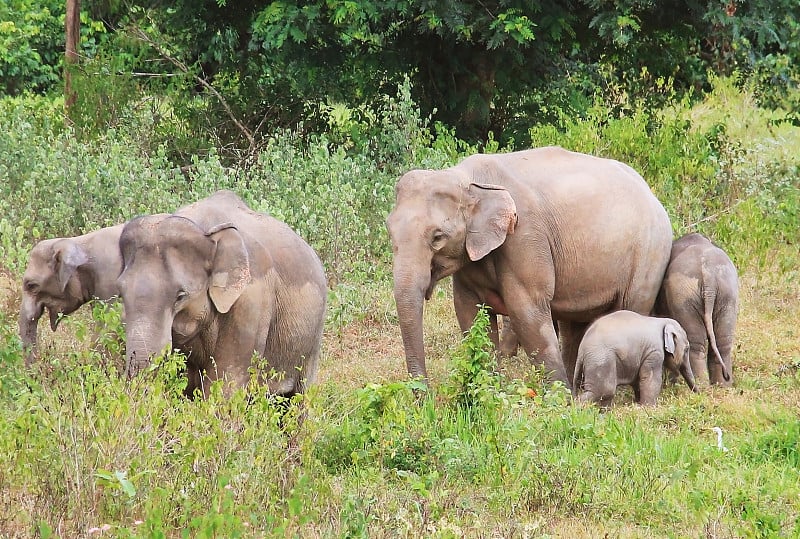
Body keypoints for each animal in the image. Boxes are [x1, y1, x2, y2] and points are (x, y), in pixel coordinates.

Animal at [388, 146, 676, 386]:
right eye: (390, 232)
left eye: (438, 237)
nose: (424, 398)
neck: (468, 178)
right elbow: (469, 310)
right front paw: (485, 389)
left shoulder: (524, 237)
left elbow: (525, 310)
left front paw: (560, 400)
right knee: (575, 326)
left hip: (649, 255)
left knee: (630, 308)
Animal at [656, 234, 736, 386]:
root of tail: (710, 276)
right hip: (727, 295)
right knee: (723, 342)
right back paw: (722, 385)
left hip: (685, 296)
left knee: (695, 343)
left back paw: (702, 385)